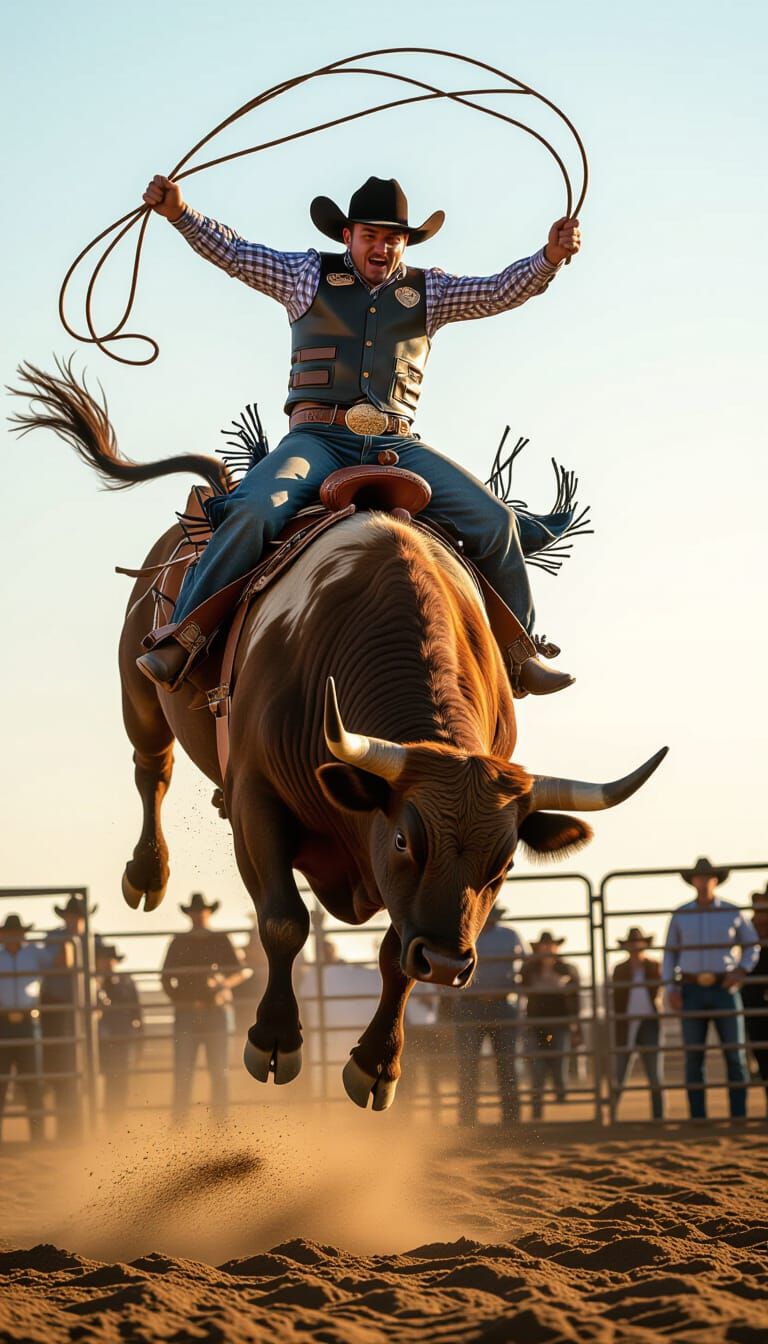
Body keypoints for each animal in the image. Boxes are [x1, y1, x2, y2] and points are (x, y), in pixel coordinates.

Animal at [11, 362, 666, 1110]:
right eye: (408, 839)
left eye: (503, 862)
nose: (449, 960)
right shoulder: (257, 801)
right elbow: (282, 920)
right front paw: (274, 1040)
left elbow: (392, 954)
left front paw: (376, 1064)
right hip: (138, 693)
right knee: (152, 767)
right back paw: (147, 873)